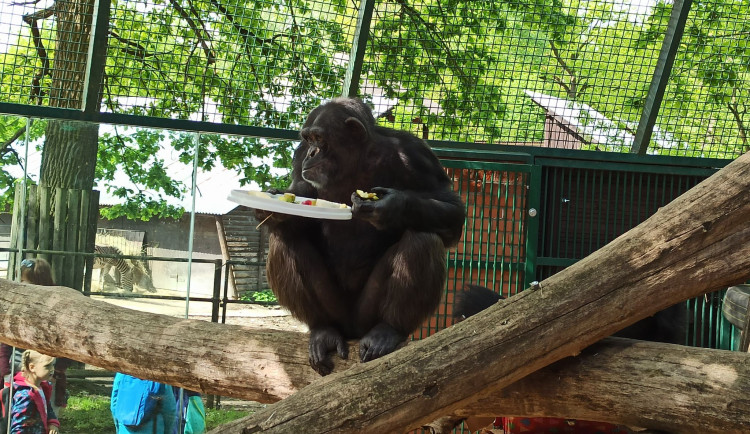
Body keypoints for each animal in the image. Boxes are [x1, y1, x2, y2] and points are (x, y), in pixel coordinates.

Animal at [260, 96, 470, 374]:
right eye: (308, 139)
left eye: (319, 138)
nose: (312, 153)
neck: (354, 161)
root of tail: (352, 329)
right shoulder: (299, 159)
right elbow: (300, 201)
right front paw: (276, 211)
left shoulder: (416, 154)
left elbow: (451, 207)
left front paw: (391, 207)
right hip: (336, 311)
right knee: (285, 240)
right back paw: (323, 330)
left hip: (366, 314)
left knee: (423, 240)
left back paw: (386, 331)